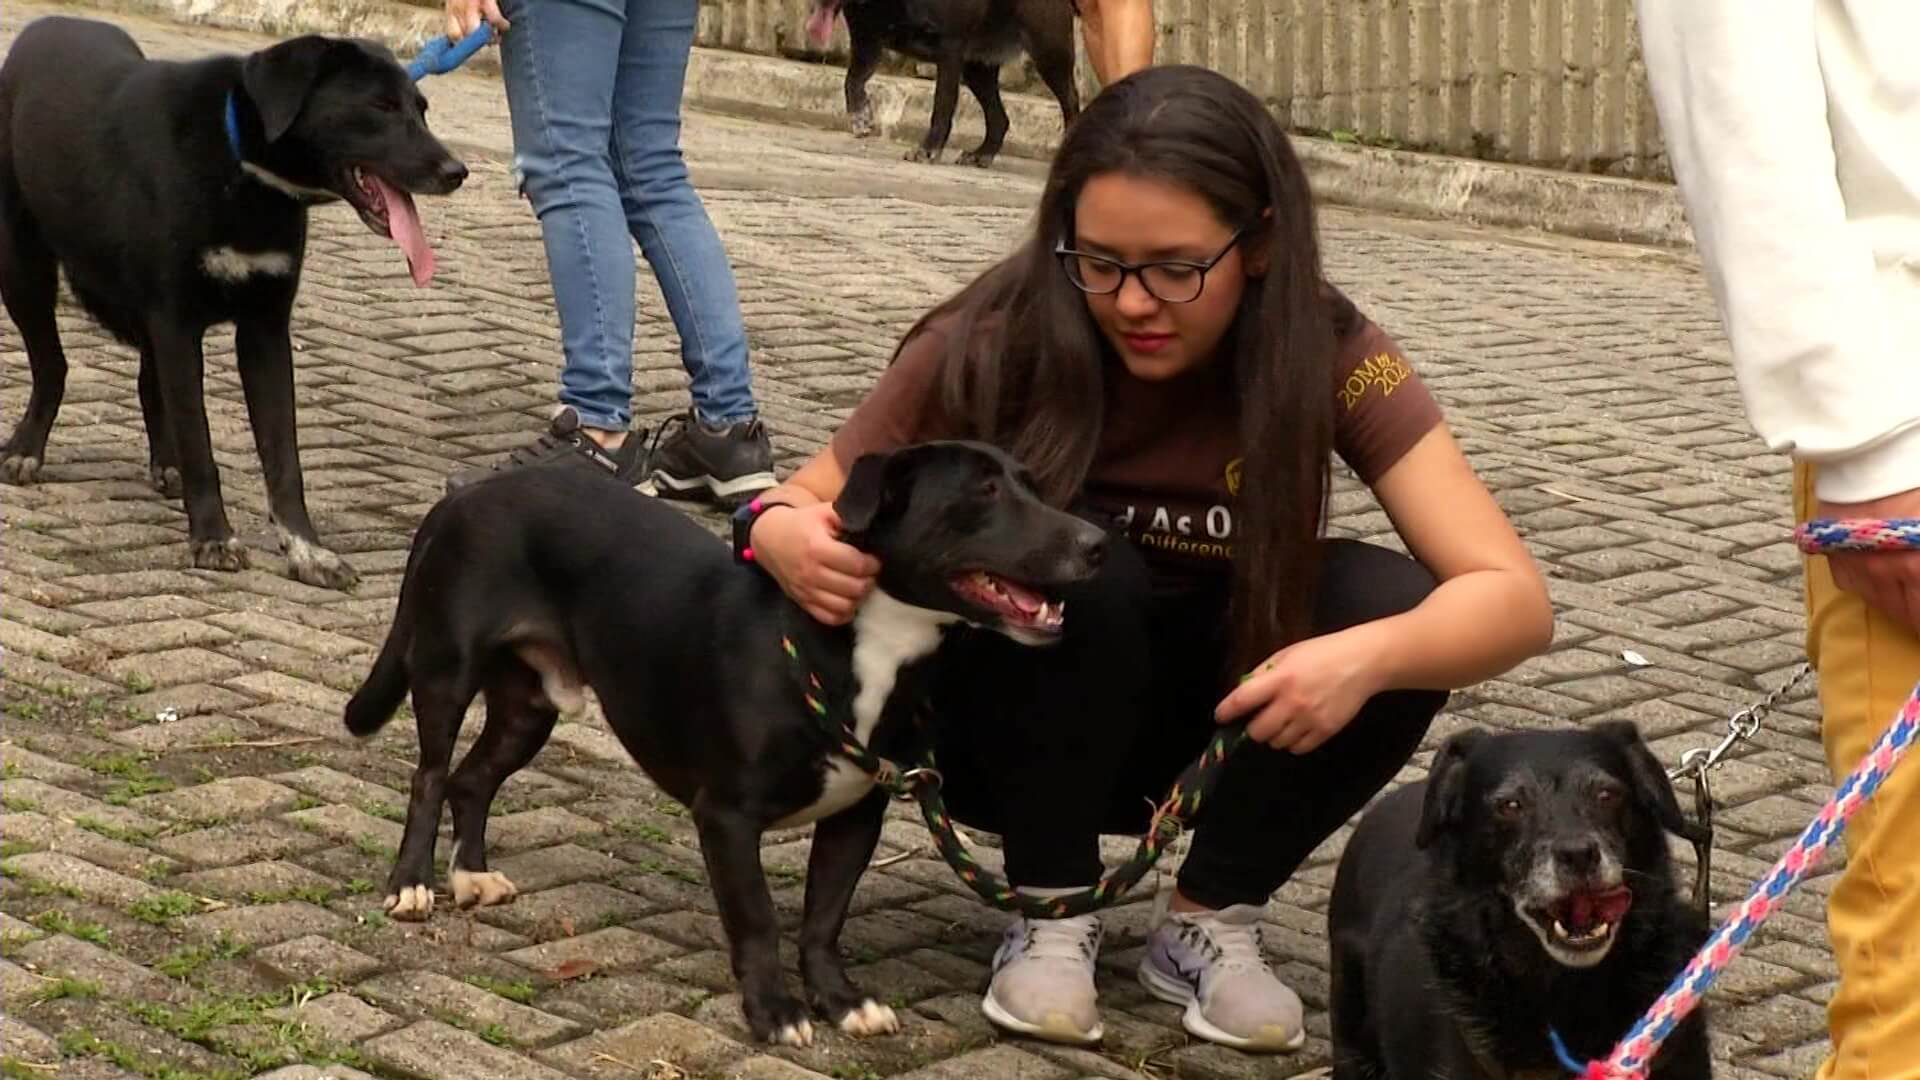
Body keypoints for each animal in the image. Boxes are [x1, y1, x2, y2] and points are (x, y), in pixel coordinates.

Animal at [0, 14, 464, 580]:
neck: (241, 164)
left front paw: (307, 549)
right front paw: (213, 537)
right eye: (381, 107)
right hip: (21, 270)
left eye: (421, 108)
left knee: (147, 383)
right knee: (53, 366)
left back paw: (165, 462)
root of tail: (47, 23)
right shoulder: (176, 322)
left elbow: (283, 458)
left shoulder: (264, 330)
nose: (457, 172)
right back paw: (26, 448)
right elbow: (201, 442)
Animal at [337, 440, 1105, 1045]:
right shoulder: (728, 818)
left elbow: (823, 919)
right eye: (984, 492)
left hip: (529, 707)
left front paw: (841, 1002)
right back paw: (412, 883)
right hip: (446, 669)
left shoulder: (858, 812)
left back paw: (470, 874)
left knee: (473, 778)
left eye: (1033, 485)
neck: (857, 648)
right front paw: (774, 1012)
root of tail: (467, 495)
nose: (1096, 544)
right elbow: (759, 918)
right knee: (430, 775)